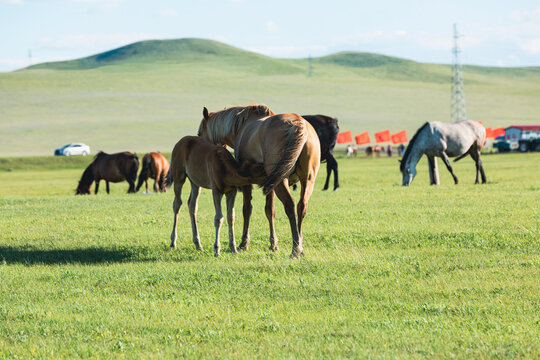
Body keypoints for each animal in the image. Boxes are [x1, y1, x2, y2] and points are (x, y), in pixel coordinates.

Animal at [199, 105, 320, 258]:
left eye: (199, 133)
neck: (243, 126)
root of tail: (299, 124)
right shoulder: (270, 185)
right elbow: (269, 210)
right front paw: (273, 244)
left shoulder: (246, 183)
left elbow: (246, 209)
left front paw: (244, 243)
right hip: (307, 181)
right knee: (301, 206)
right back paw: (300, 245)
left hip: (282, 183)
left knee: (290, 205)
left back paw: (295, 248)